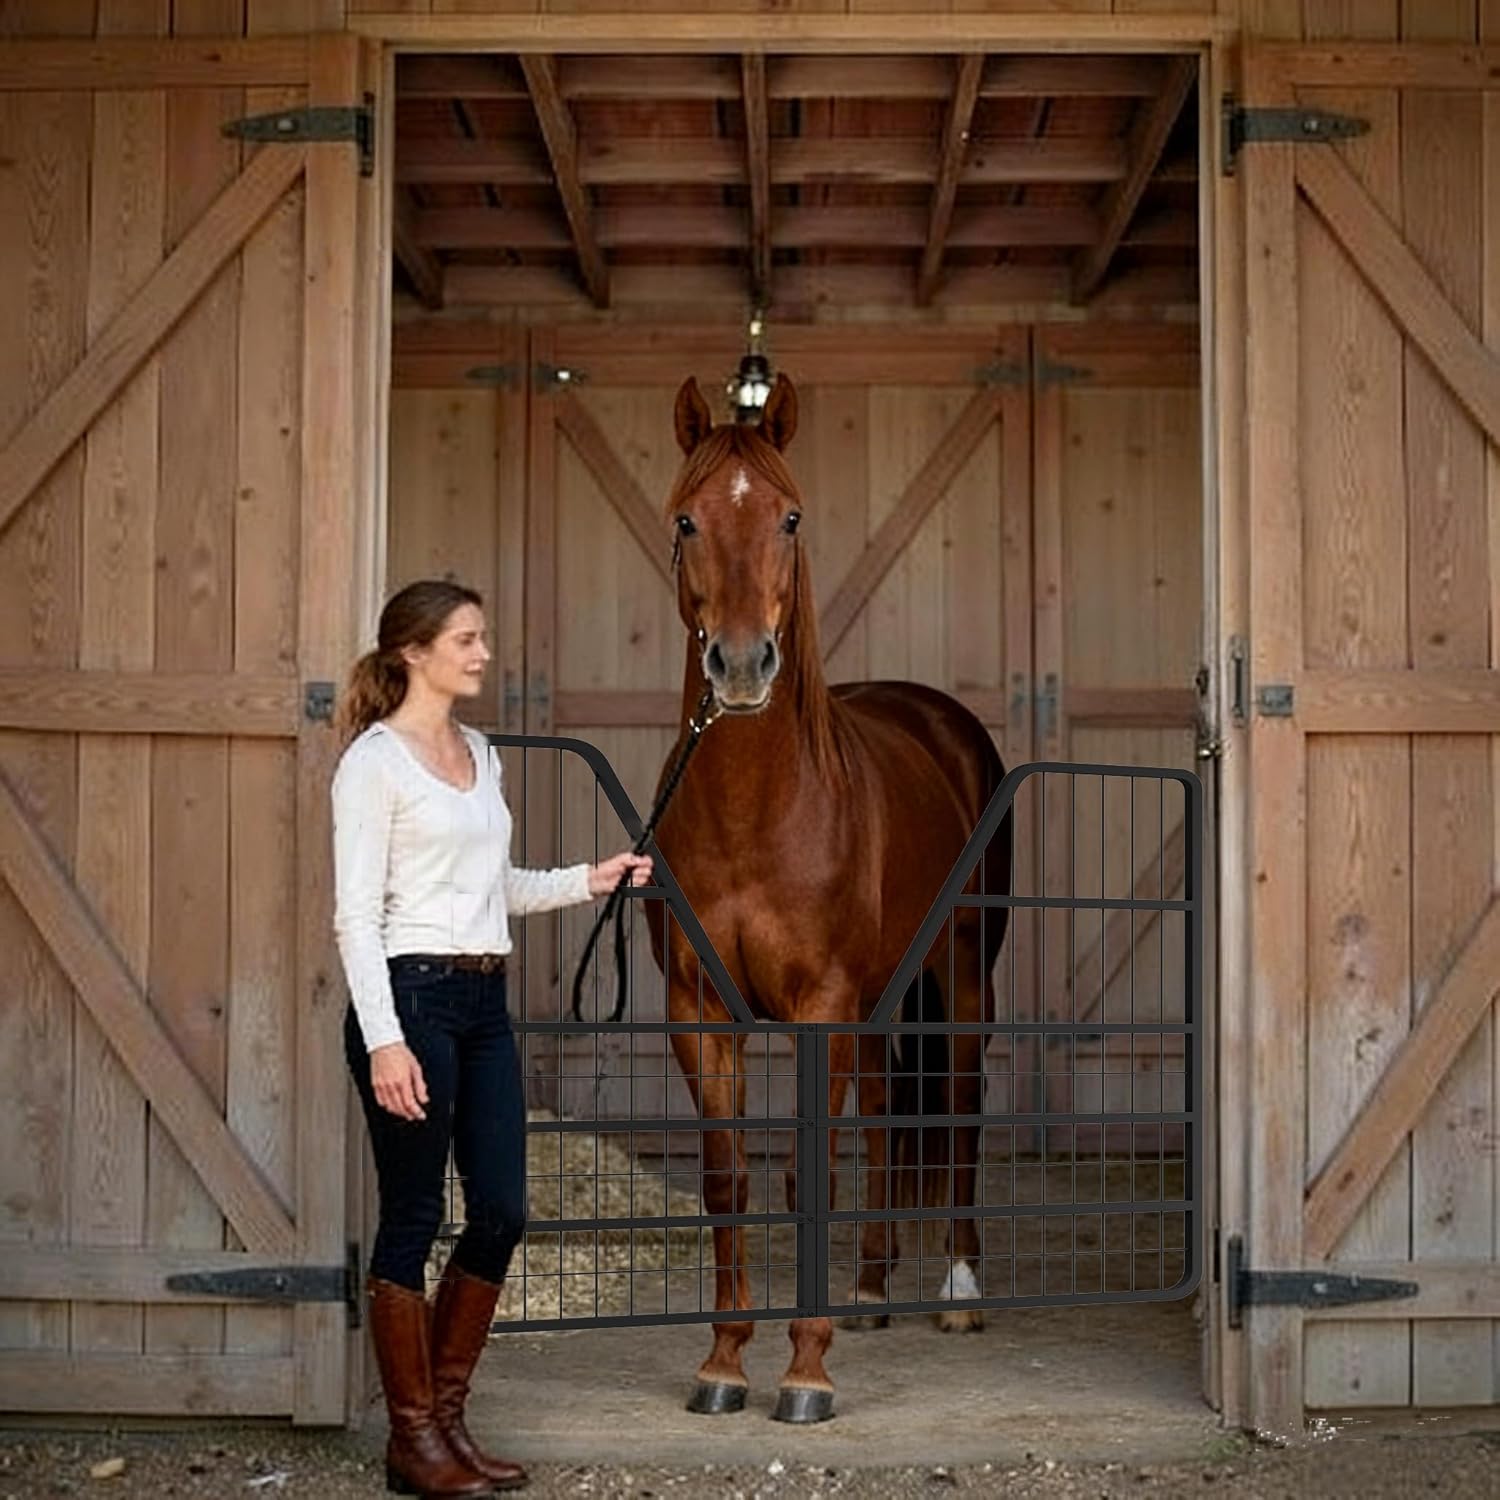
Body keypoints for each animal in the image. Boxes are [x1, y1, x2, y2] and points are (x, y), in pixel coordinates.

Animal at [645, 372, 1012, 1424]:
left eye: (791, 517)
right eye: (686, 519)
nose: (739, 664)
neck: (755, 812)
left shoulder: (820, 1008)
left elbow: (809, 1170)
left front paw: (806, 1372)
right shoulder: (700, 1014)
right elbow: (728, 1178)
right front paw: (724, 1362)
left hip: (961, 972)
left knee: (960, 1098)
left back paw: (957, 1291)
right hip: (883, 999)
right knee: (889, 1104)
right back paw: (872, 1287)